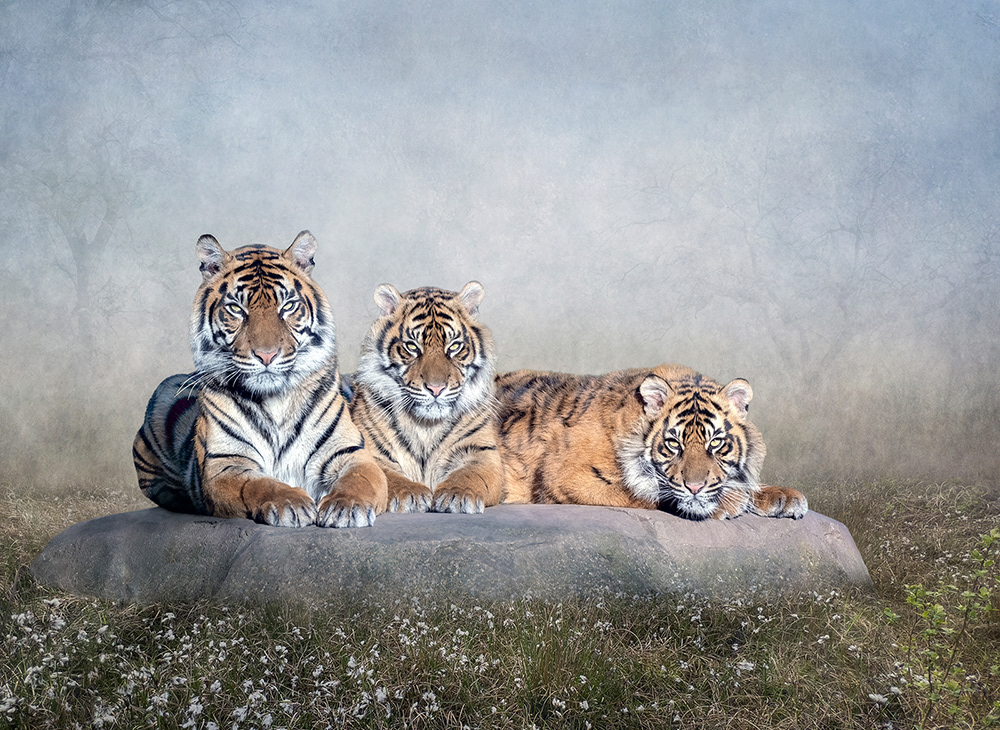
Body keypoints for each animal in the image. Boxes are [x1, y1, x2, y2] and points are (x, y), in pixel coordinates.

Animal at [132, 231, 387, 528]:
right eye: (236, 308)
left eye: (288, 306)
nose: (267, 355)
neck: (275, 402)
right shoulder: (226, 464)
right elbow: (258, 484)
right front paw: (291, 503)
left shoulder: (350, 453)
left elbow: (361, 479)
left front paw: (345, 506)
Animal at [348, 282, 505, 514]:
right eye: (412, 347)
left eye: (454, 346)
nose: (436, 388)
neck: (426, 427)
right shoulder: (369, 452)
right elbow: (387, 476)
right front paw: (411, 494)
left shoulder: (482, 452)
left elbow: (470, 474)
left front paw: (456, 495)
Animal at [496, 363, 807, 521]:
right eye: (674, 444)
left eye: (716, 443)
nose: (696, 487)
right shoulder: (567, 476)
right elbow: (647, 492)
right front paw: (729, 503)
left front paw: (785, 498)